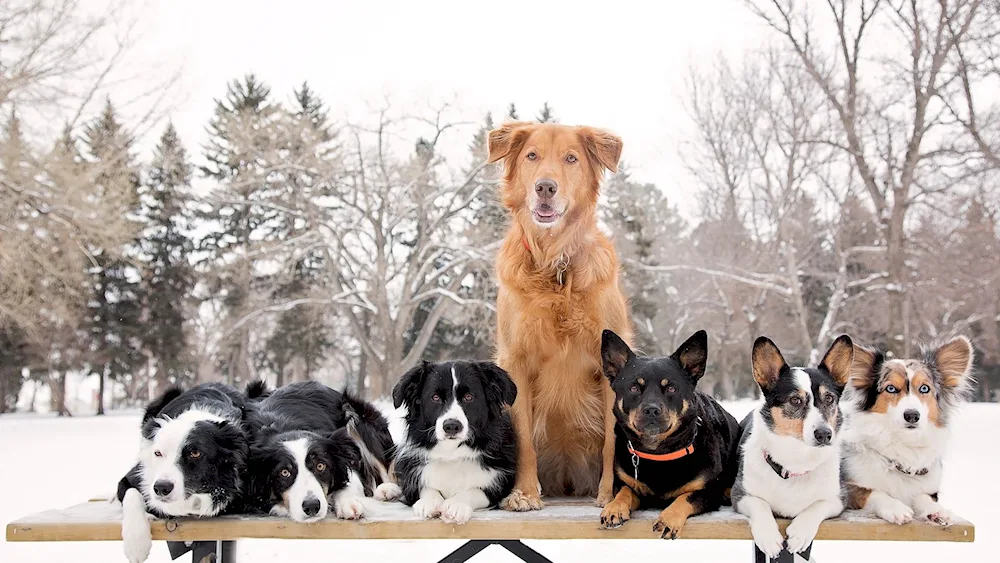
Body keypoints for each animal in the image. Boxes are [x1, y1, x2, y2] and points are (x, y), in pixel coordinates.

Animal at [596, 328, 740, 540]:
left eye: (671, 388)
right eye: (634, 388)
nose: (651, 409)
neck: (659, 454)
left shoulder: (707, 492)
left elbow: (685, 498)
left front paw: (669, 519)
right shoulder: (625, 483)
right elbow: (625, 491)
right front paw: (614, 508)